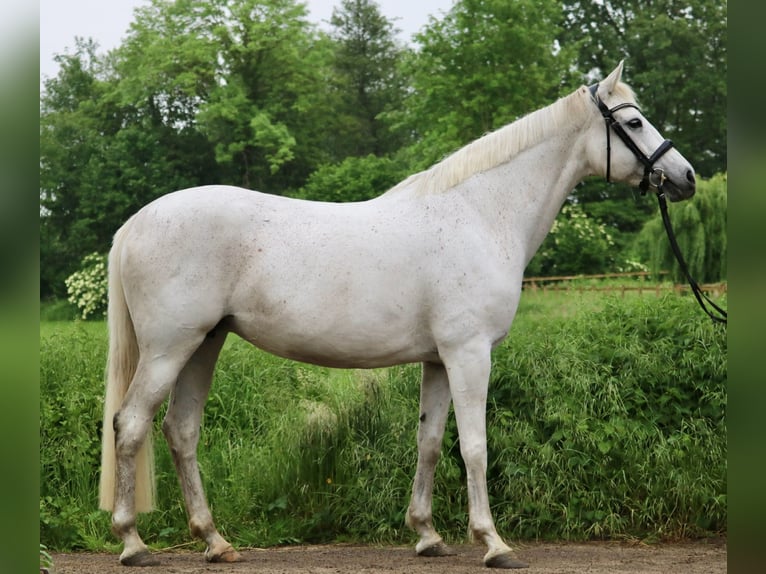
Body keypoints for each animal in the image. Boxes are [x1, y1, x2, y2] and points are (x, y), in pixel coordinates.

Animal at [99, 60, 700, 568]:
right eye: (634, 121)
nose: (686, 176)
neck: (481, 213)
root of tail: (137, 222)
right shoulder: (469, 354)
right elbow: (474, 446)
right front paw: (493, 543)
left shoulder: (438, 360)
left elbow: (430, 442)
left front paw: (428, 535)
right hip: (169, 347)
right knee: (131, 425)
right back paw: (133, 543)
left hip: (205, 343)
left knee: (180, 431)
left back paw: (215, 541)